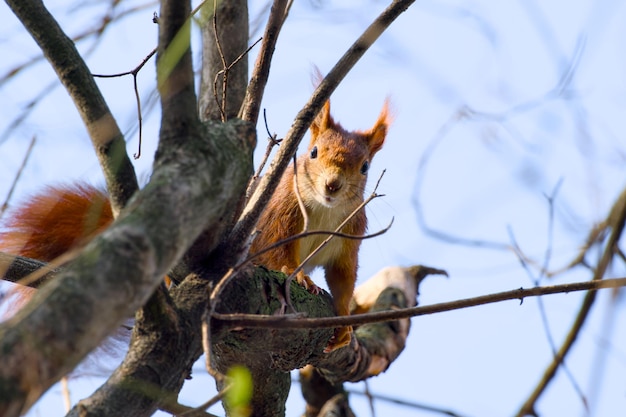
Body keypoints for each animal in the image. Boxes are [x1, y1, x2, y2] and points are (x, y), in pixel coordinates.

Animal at [250, 100, 390, 352]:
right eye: (313, 152)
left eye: (365, 167)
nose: (332, 184)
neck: (327, 209)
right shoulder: (278, 216)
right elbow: (275, 249)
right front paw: (299, 275)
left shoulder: (349, 239)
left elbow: (342, 277)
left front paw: (344, 321)